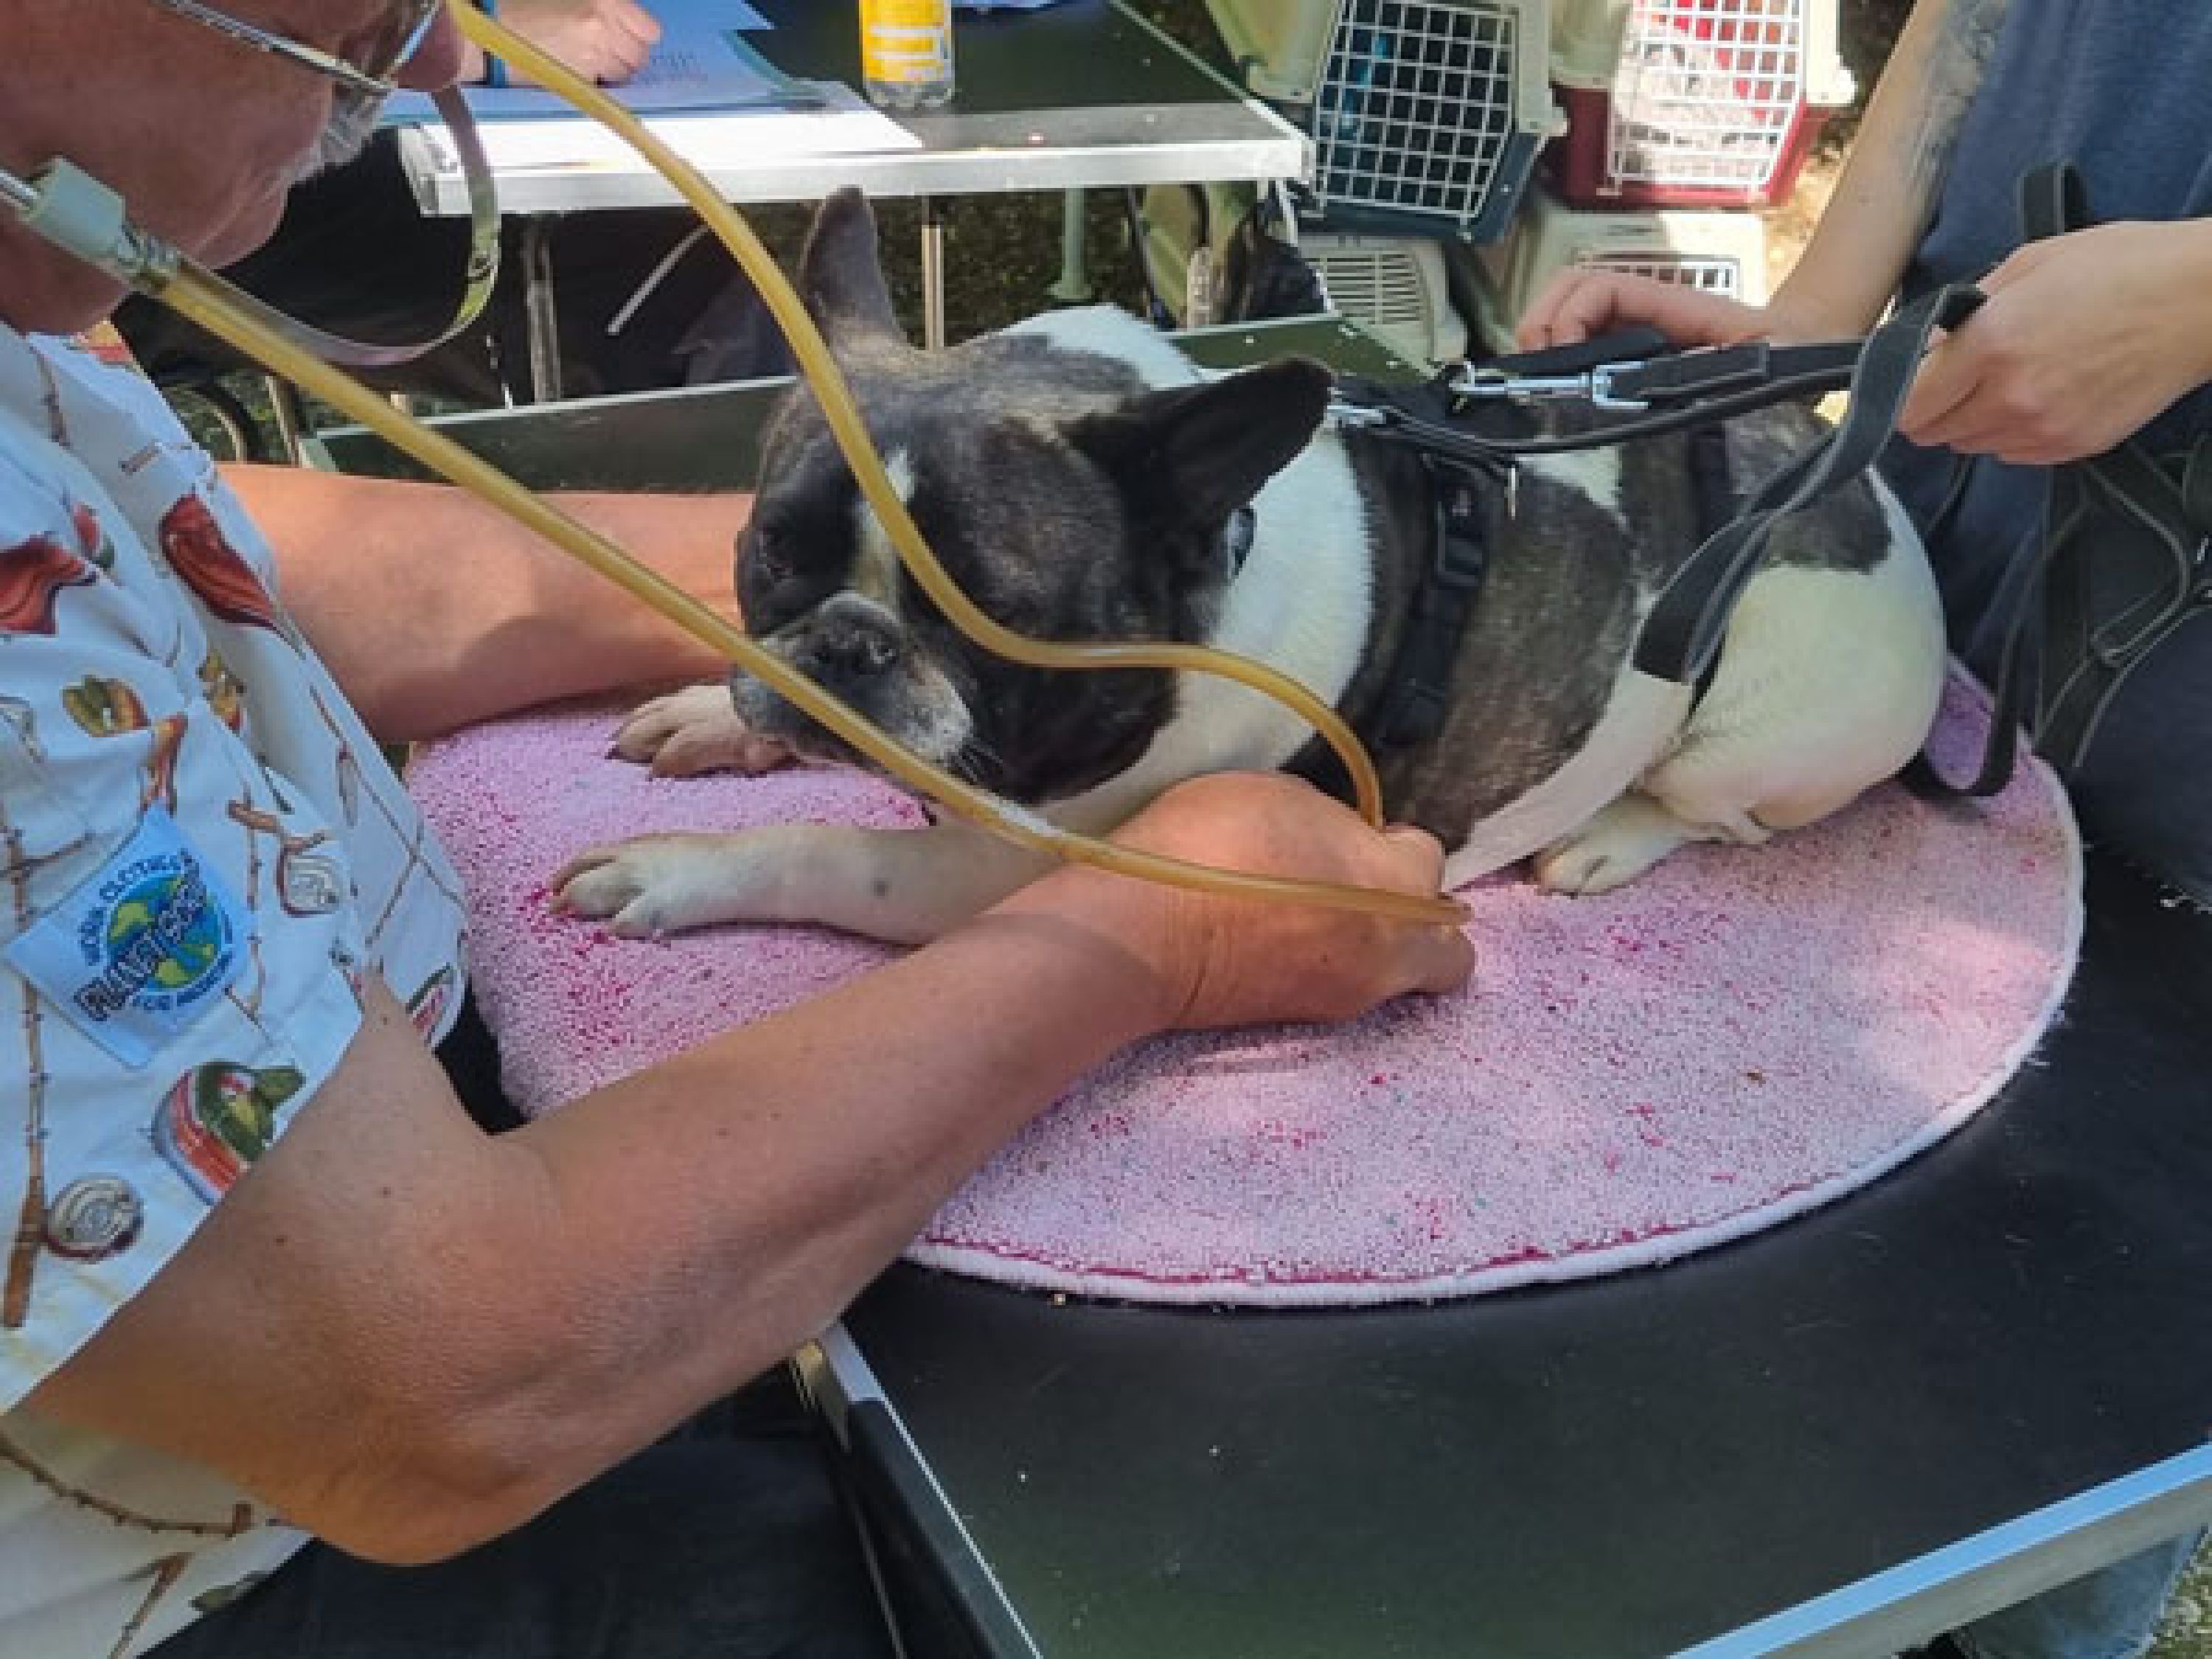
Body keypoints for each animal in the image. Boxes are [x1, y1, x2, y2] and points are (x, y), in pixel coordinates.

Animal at [554, 190, 1947, 944]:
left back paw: (1609, 836)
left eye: (994, 618)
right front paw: (708, 712)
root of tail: (1855, 479)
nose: (847, 644)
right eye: (769, 552)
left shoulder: (998, 871)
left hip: (1760, 736)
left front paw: (677, 869)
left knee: (1715, 813)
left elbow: (829, 850)